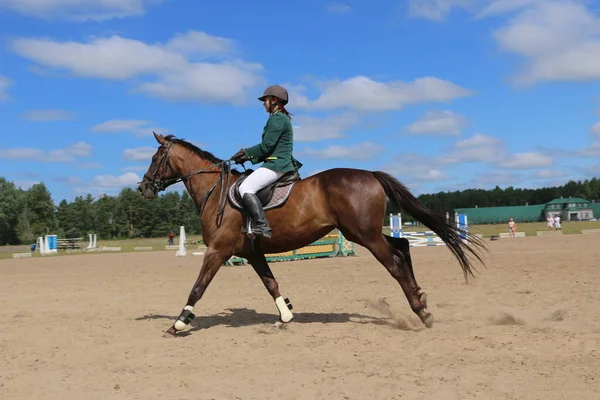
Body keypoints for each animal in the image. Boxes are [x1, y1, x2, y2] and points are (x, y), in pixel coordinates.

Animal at [137, 133, 488, 336]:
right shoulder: (252, 253)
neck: (216, 192)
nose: (143, 188)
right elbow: (271, 283)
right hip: (364, 233)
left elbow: (198, 287)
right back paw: (421, 301)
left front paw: (179, 323)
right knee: (402, 245)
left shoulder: (218, 251)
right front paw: (285, 316)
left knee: (396, 262)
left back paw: (421, 312)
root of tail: (370, 174)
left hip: (364, 234)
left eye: (155, 158)